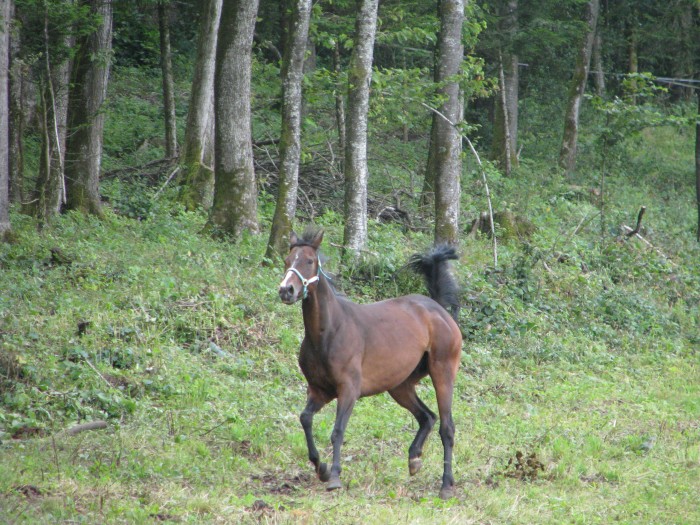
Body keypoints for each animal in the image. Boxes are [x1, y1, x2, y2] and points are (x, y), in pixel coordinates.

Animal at [276, 227, 462, 498]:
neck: (329, 332)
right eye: (287, 260)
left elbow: (337, 431)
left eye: (309, 261)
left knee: (447, 427)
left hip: (443, 374)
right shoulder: (319, 391)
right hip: (400, 386)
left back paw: (446, 484)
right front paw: (321, 468)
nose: (286, 290)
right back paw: (414, 459)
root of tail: (438, 308)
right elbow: (305, 419)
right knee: (426, 417)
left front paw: (334, 476)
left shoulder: (348, 390)